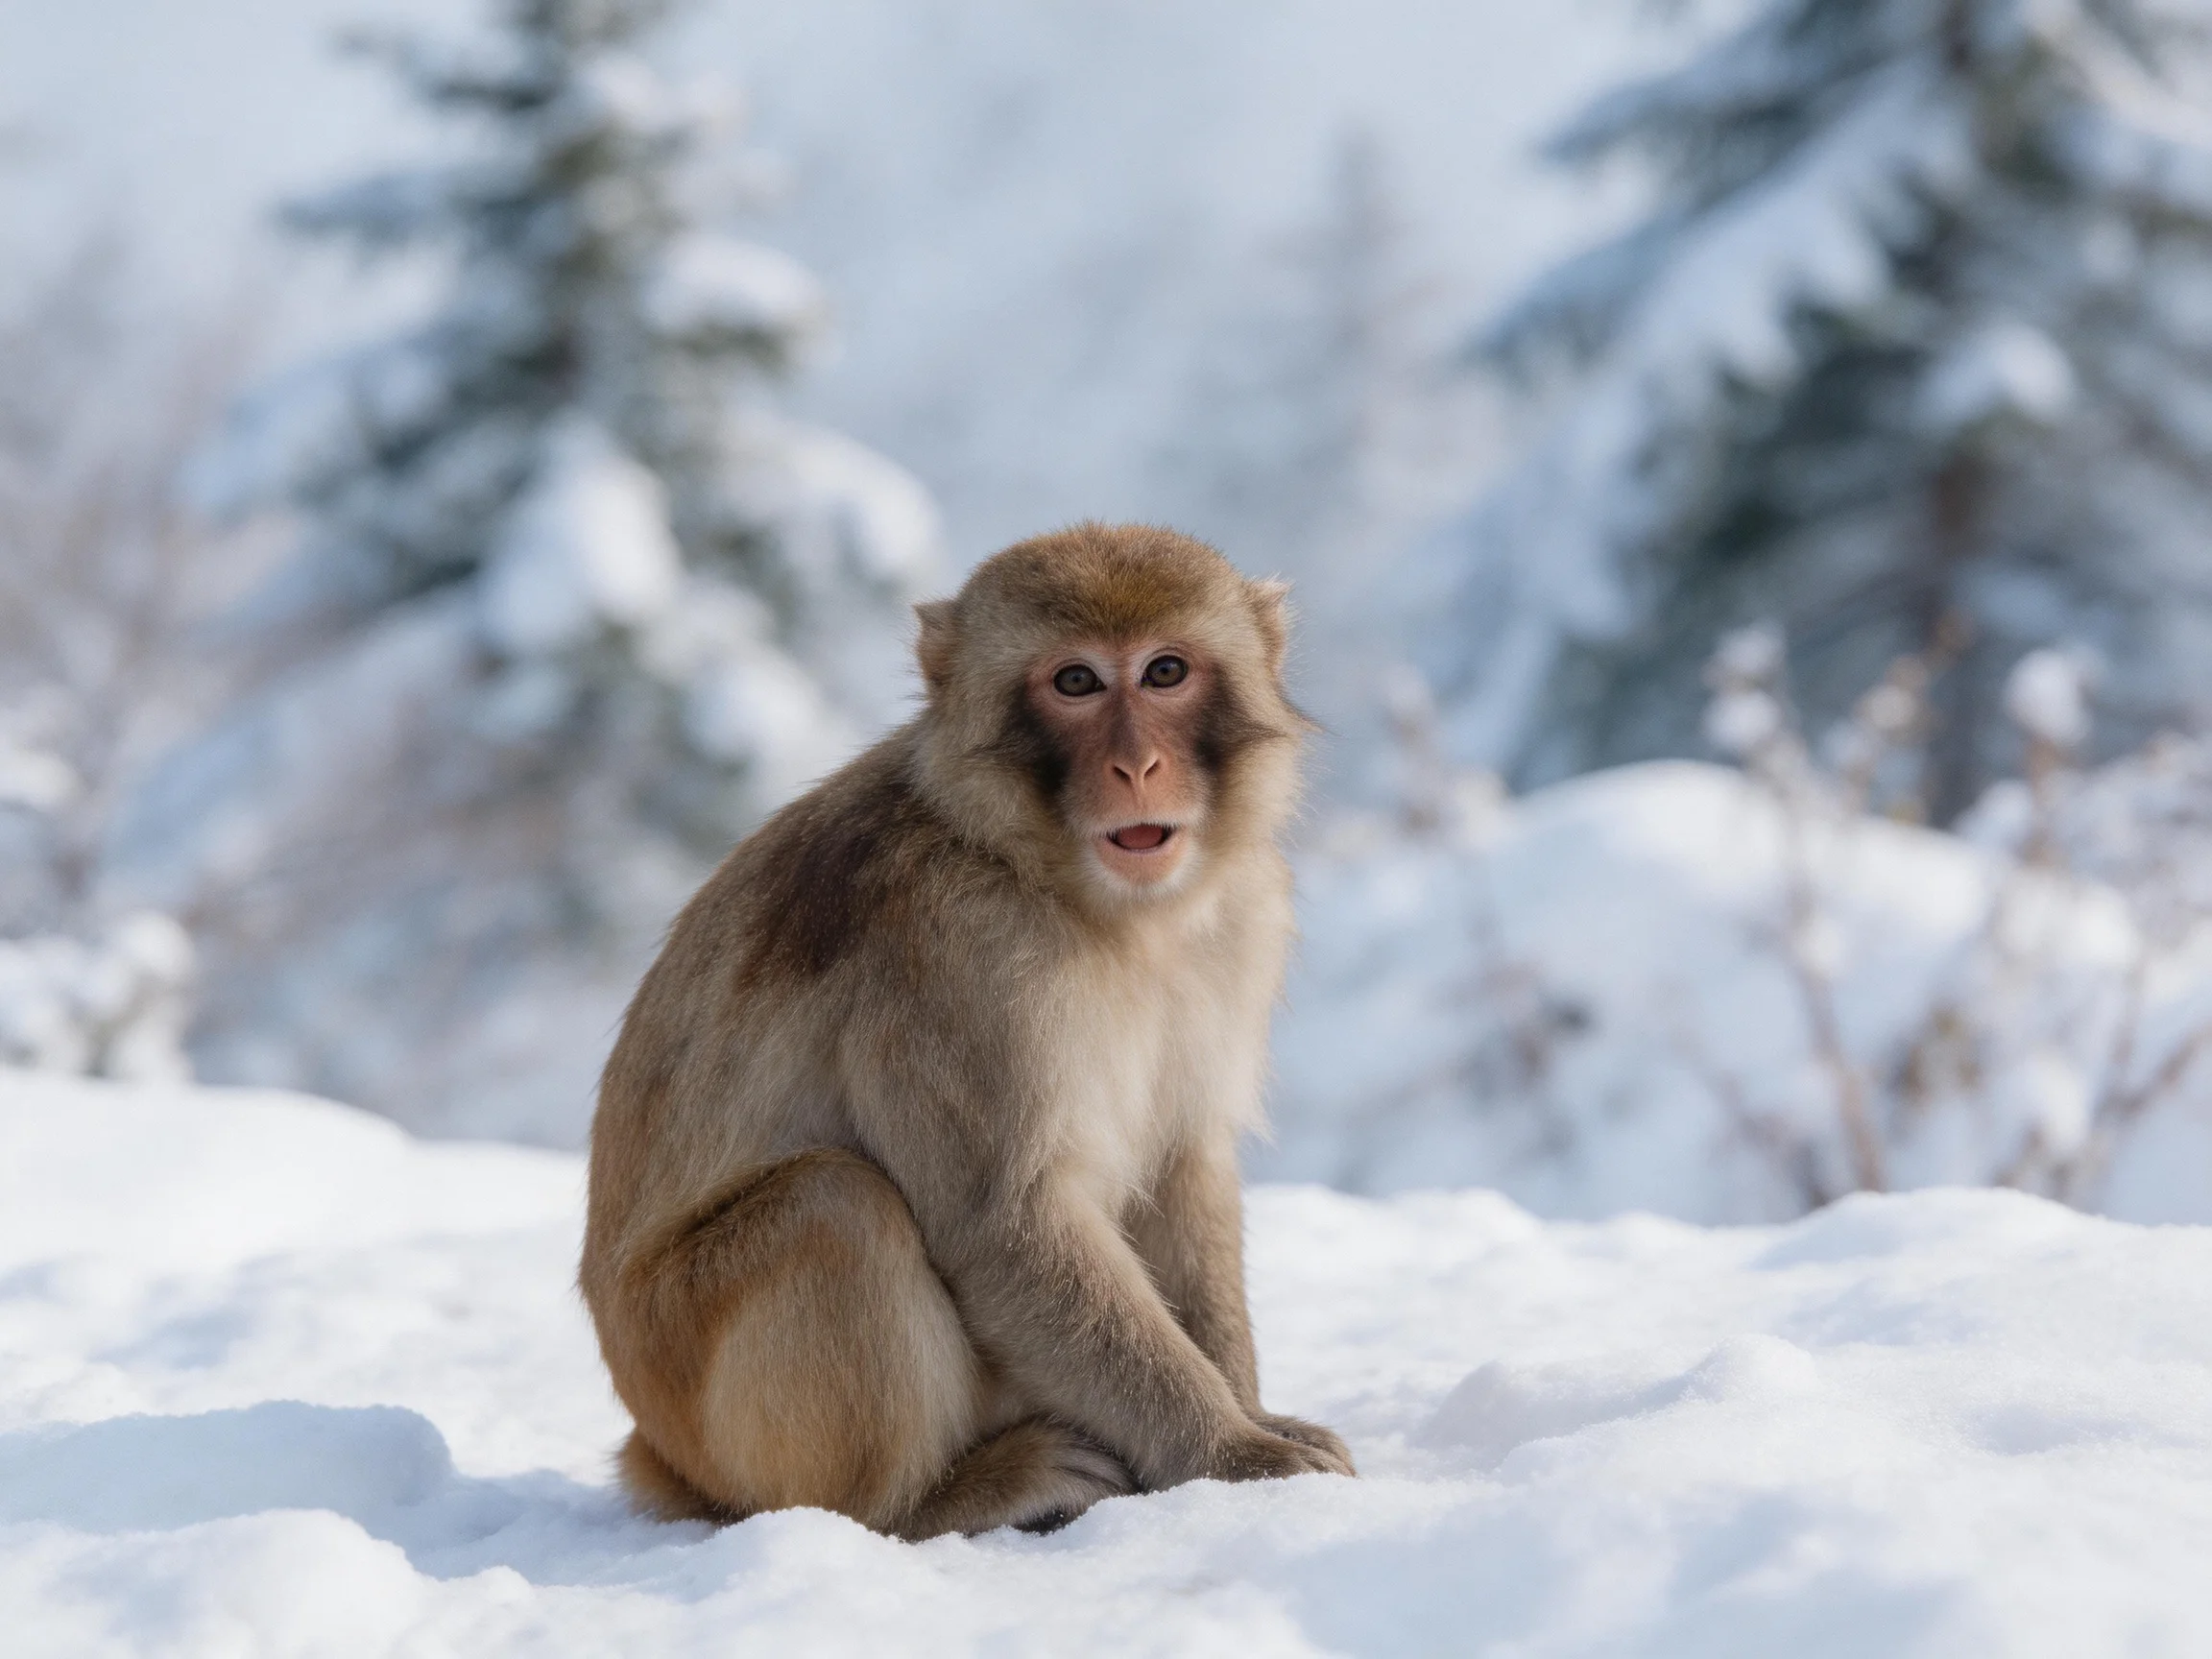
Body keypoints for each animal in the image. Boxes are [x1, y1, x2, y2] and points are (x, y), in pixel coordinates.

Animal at [579, 521, 1355, 1540]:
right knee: (835, 1204)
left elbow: (1182, 1169)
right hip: (701, 1395)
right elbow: (1006, 1225)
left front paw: (1254, 1415)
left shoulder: (1239, 924)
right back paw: (937, 1499)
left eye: (1166, 671)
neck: (1079, 897)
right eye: (1076, 682)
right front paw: (1234, 1456)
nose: (1137, 767)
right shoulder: (955, 963)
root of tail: (656, 1449)